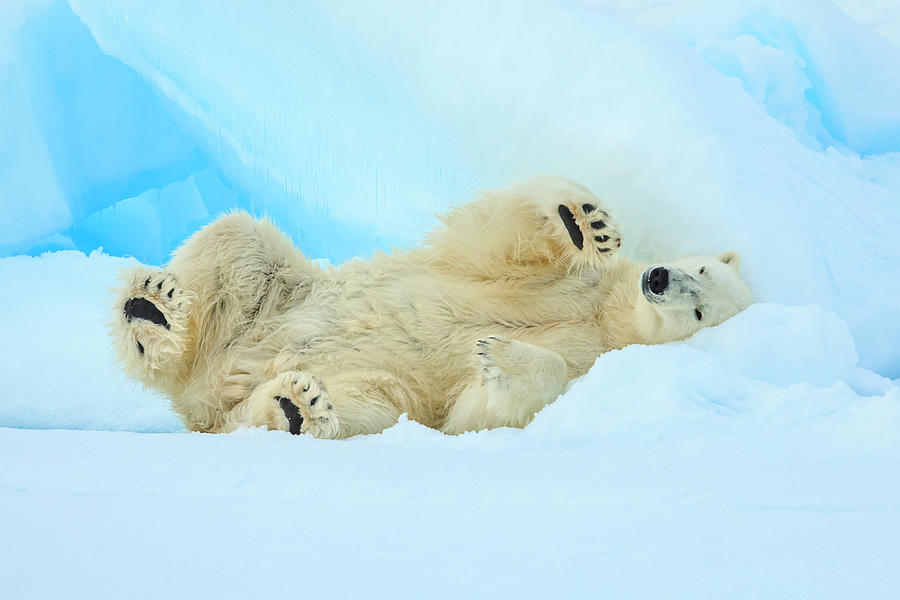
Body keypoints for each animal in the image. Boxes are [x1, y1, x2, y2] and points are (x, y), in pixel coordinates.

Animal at [109, 177, 748, 436]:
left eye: (701, 312)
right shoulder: (560, 286)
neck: (604, 317)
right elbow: (494, 241)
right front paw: (584, 221)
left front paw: (498, 355)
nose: (659, 279)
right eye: (699, 268)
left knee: (367, 406)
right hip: (276, 299)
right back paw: (154, 311)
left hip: (367, 383)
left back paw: (294, 407)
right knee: (238, 241)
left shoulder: (591, 359)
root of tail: (209, 390)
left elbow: (478, 409)